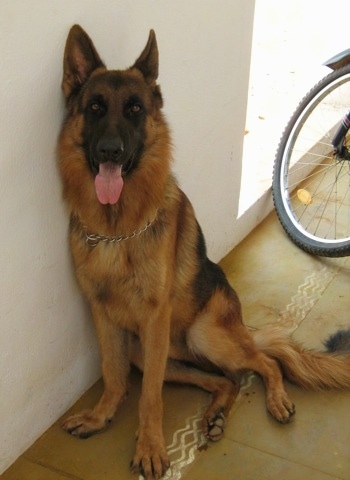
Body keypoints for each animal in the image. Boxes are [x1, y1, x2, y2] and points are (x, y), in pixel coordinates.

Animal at [58, 26, 350, 480]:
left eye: (135, 109)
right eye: (94, 108)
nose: (110, 151)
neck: (117, 229)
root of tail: (243, 326)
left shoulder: (154, 318)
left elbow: (149, 397)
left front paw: (151, 447)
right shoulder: (101, 314)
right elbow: (112, 375)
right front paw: (100, 416)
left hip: (200, 334)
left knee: (264, 363)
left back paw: (275, 399)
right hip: (153, 351)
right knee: (226, 379)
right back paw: (214, 415)